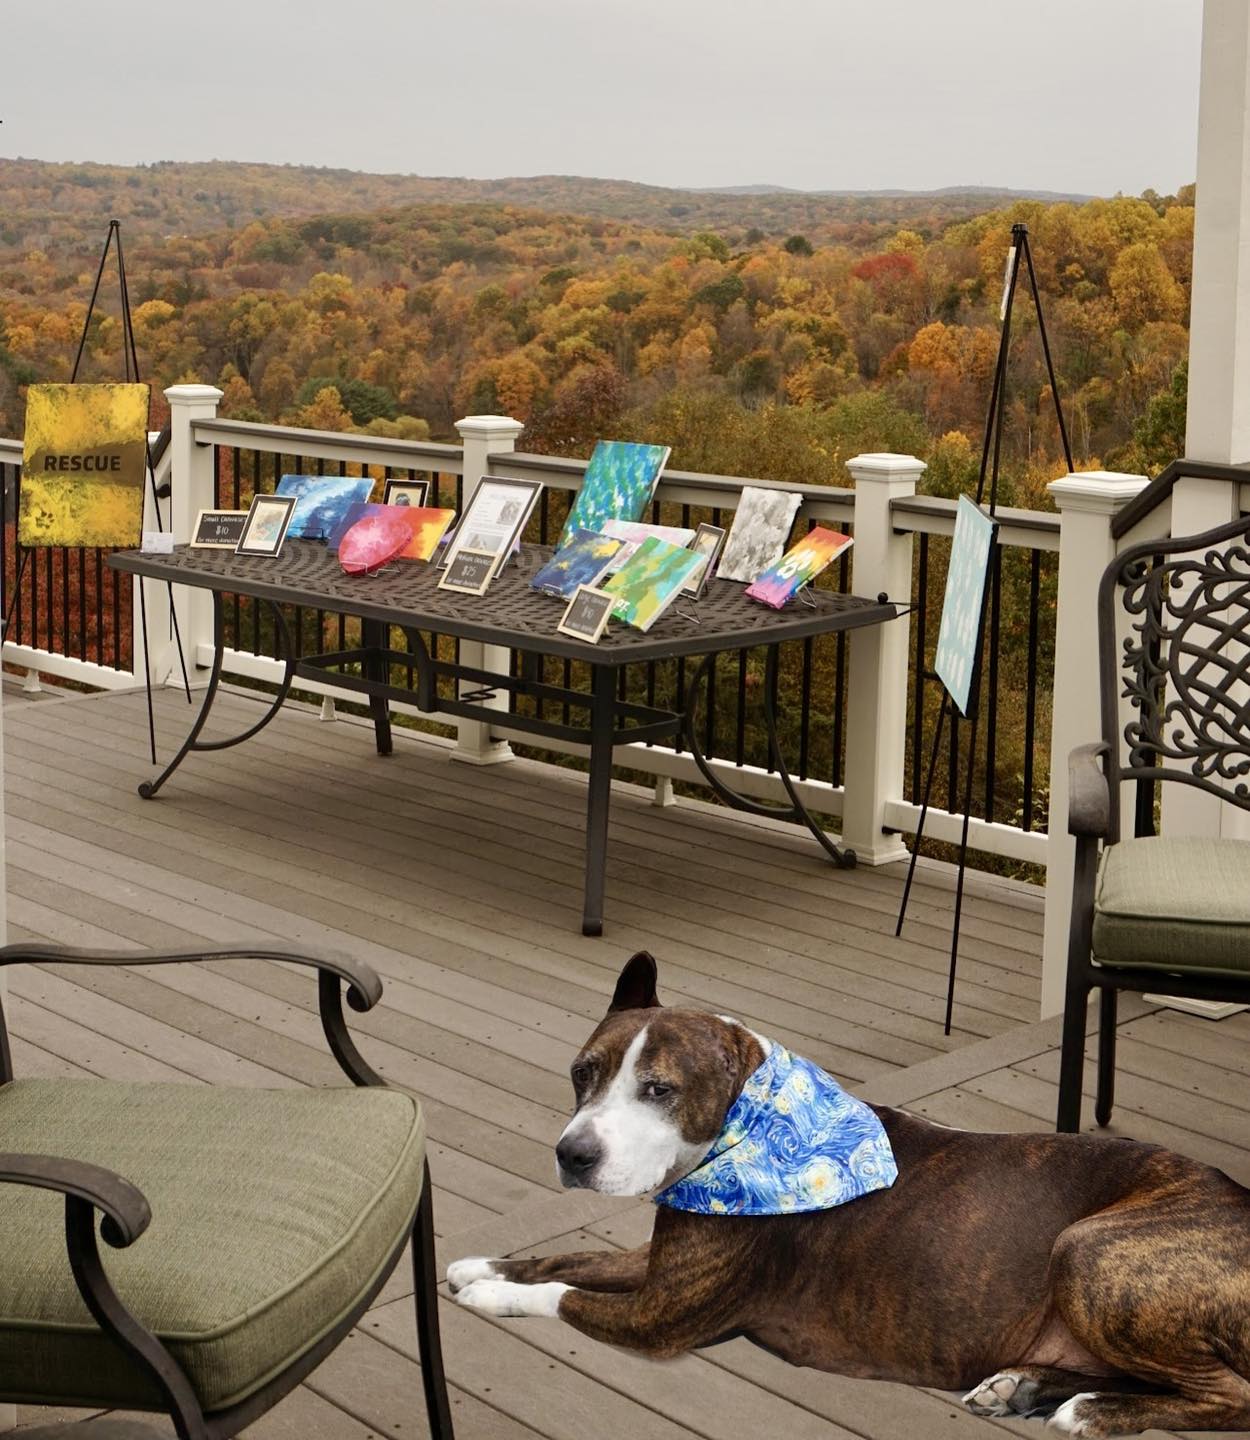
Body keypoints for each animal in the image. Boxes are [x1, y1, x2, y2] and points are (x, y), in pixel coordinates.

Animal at [449, 950, 1250, 1434]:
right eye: (582, 1073)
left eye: (659, 1090)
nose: (573, 1153)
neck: (743, 1127)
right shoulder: (663, 1264)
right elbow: (574, 1257)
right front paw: (483, 1264)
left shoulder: (662, 1317)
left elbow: (565, 1295)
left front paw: (492, 1294)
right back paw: (1020, 1384)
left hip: (1087, 1251)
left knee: (1231, 1394)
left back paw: (1089, 1409)